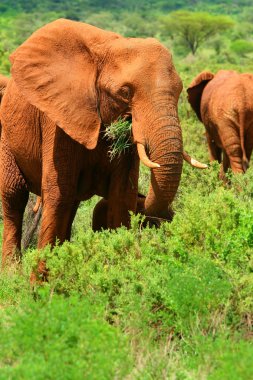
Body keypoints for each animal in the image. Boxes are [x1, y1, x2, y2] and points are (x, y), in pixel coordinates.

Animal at [0, 18, 206, 268]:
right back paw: (12, 271)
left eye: (179, 91)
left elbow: (121, 196)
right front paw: (42, 277)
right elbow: (58, 193)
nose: (146, 207)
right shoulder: (56, 121)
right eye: (125, 92)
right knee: (14, 198)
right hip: (7, 136)